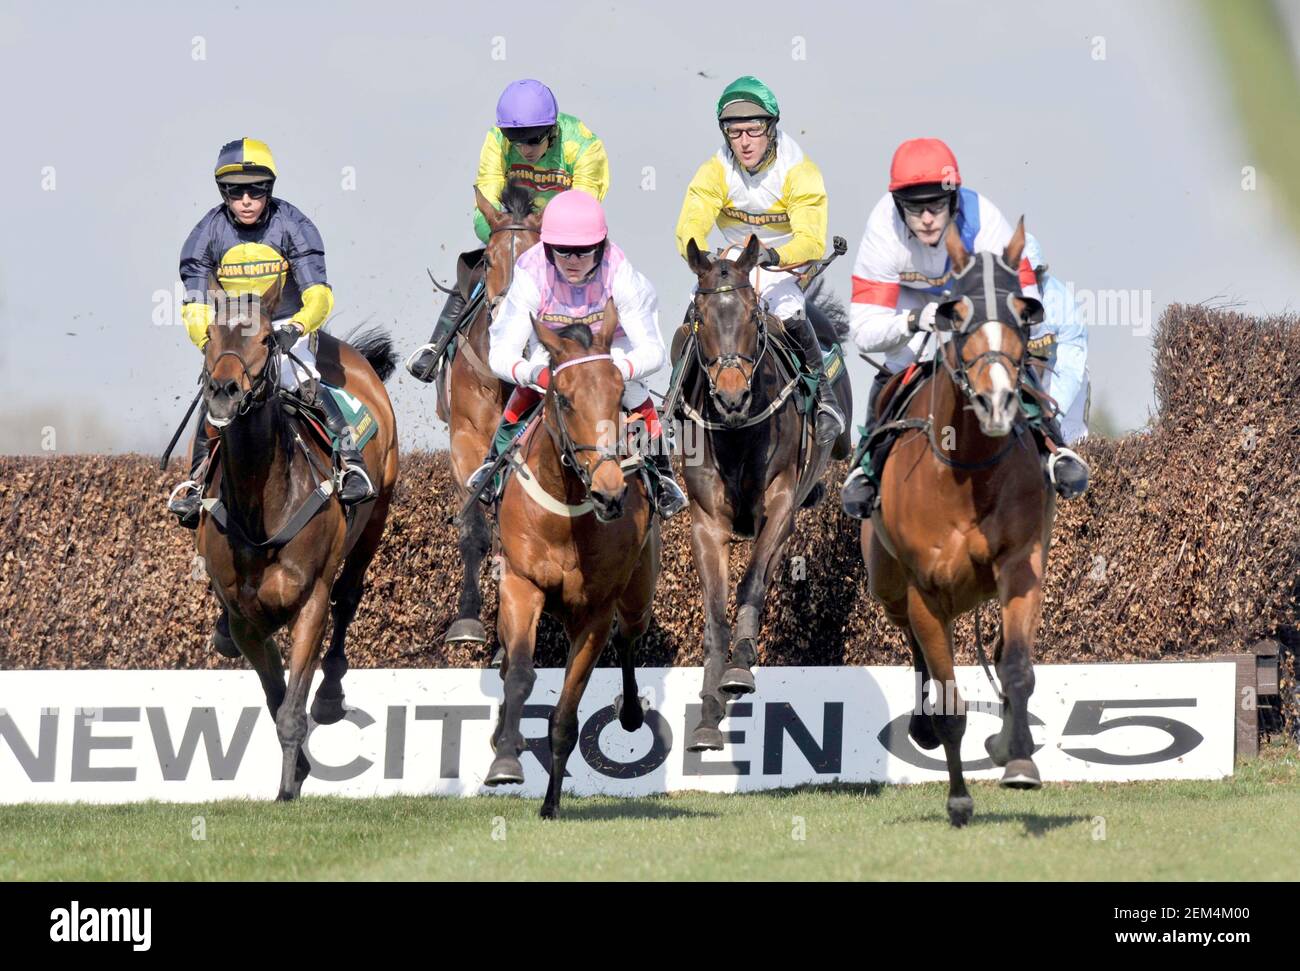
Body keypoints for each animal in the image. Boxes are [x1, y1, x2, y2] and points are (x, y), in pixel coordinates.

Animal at [195, 276, 397, 800]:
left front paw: (288, 787)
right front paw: (298, 770)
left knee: (349, 596)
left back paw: (329, 695)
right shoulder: (246, 618)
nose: (223, 392)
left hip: (377, 512)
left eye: (267, 338)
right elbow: (276, 698)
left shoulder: (309, 602)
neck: (260, 506)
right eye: (208, 337)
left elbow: (292, 708)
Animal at [488, 304, 665, 821]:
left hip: (638, 593)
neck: (566, 514)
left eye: (617, 394)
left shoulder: (595, 611)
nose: (610, 493)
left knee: (629, 636)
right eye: (563, 399)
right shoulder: (521, 584)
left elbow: (566, 716)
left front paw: (550, 804)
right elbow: (520, 676)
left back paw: (631, 713)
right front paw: (506, 759)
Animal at [681, 235, 852, 753]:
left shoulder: (778, 504)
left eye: (752, 315)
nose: (731, 396)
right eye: (700, 316)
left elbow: (752, 581)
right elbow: (714, 616)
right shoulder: (706, 524)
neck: (737, 433)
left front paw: (739, 668)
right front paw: (708, 711)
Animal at [863, 222, 1055, 826]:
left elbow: (1017, 668)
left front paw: (1018, 760)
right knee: (913, 644)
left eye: (1024, 309)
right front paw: (958, 796)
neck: (967, 468)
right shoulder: (927, 589)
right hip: (887, 583)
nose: (997, 400)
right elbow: (947, 699)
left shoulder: (1020, 565)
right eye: (955, 310)